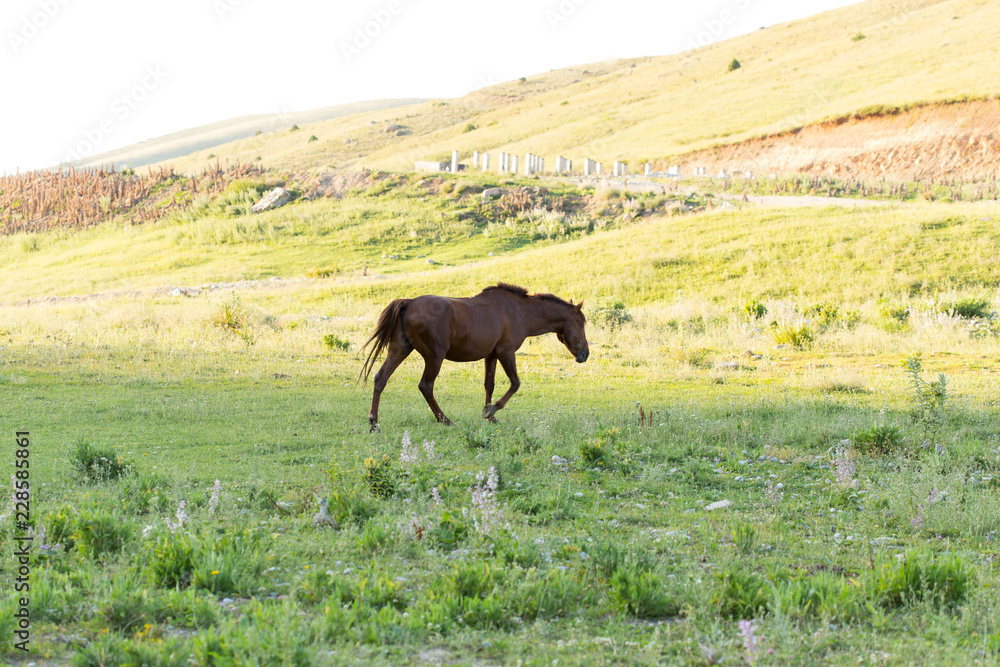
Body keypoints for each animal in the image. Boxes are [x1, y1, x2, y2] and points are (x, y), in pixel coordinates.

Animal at [361, 283, 589, 432]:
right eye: (581, 323)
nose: (585, 354)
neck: (519, 311)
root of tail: (408, 303)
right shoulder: (506, 353)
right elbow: (515, 384)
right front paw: (492, 410)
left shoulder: (492, 356)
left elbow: (490, 385)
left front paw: (490, 415)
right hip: (434, 357)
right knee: (425, 386)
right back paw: (444, 419)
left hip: (400, 349)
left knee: (380, 379)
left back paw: (374, 422)